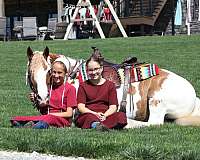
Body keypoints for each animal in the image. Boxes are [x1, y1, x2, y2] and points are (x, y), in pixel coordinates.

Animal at [25, 46, 200, 127]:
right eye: (30, 72)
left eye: (49, 71)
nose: (43, 98)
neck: (72, 76)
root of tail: (194, 97)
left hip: (156, 101)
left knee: (153, 123)